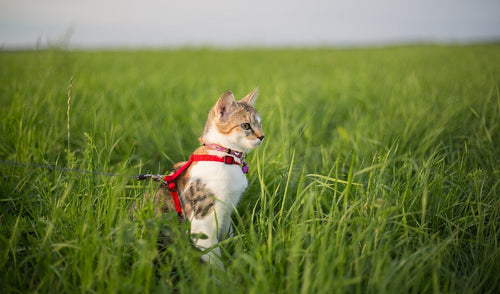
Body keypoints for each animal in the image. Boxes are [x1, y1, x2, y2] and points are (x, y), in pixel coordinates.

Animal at [133, 88, 266, 268]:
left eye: (260, 124)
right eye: (246, 125)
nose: (262, 136)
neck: (223, 156)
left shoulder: (227, 211)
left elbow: (227, 236)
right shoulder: (202, 220)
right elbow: (213, 255)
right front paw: (222, 274)